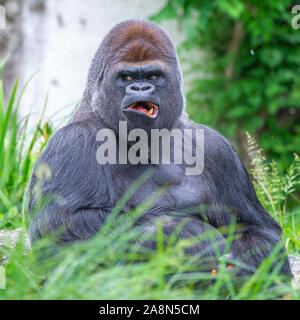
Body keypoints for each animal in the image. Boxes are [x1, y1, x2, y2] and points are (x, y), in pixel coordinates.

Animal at [25, 20, 290, 276]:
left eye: (153, 76)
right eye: (127, 78)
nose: (140, 89)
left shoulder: (218, 151)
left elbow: (257, 228)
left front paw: (250, 266)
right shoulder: (72, 144)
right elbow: (60, 226)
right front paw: (182, 232)